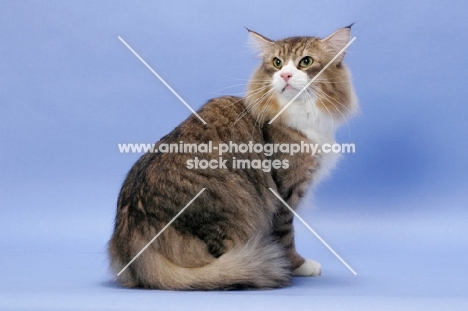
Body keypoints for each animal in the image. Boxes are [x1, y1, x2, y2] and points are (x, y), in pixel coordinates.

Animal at [109, 25, 358, 292]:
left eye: (306, 62)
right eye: (277, 63)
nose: (286, 76)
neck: (300, 113)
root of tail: (130, 235)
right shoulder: (285, 193)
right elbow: (286, 236)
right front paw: (298, 265)